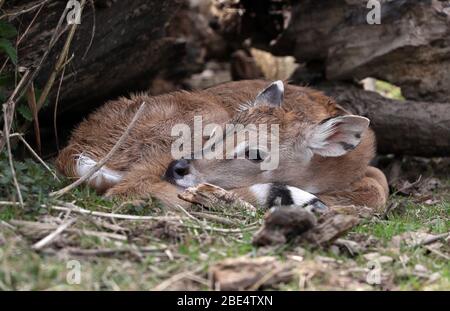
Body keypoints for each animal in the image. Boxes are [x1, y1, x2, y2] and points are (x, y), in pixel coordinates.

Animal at [55, 80, 386, 214]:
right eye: (227, 130)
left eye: (256, 153)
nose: (178, 167)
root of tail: (76, 149)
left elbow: (379, 182)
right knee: (132, 188)